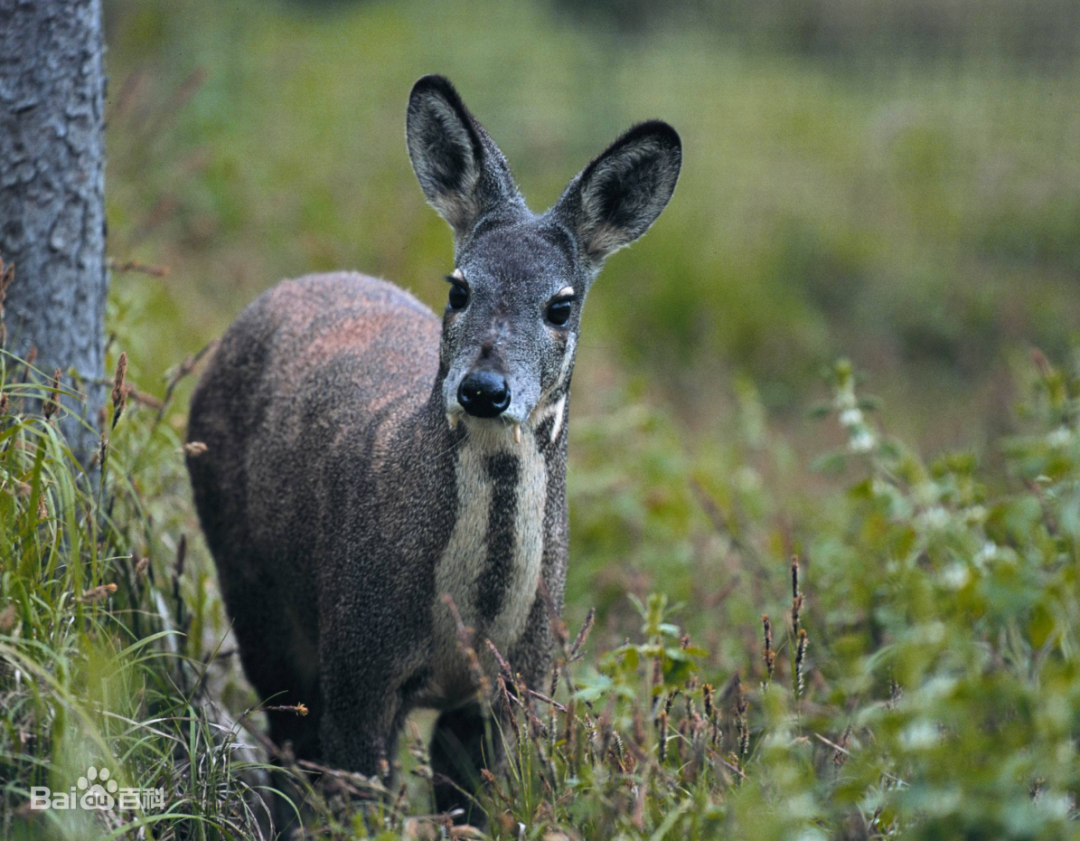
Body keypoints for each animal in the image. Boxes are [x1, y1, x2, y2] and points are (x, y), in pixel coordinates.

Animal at [184, 73, 673, 820]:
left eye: (560, 305)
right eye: (460, 287)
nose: (484, 388)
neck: (470, 621)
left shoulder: (516, 685)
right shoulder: (360, 658)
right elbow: (356, 796)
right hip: (251, 583)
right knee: (287, 736)